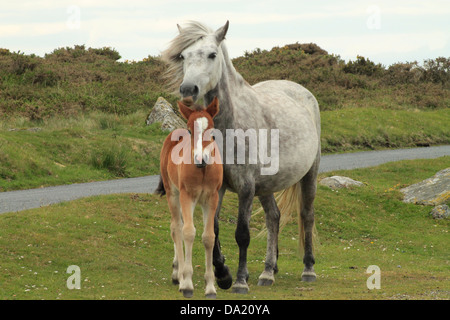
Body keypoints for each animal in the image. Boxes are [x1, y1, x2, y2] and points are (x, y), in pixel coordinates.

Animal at [162, 21, 320, 294]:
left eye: (212, 54)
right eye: (183, 56)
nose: (188, 90)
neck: (230, 126)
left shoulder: (246, 187)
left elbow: (242, 234)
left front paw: (239, 281)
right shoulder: (218, 187)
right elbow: (213, 229)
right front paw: (223, 274)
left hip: (309, 174)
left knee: (306, 215)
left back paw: (308, 269)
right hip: (266, 186)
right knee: (273, 218)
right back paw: (268, 271)